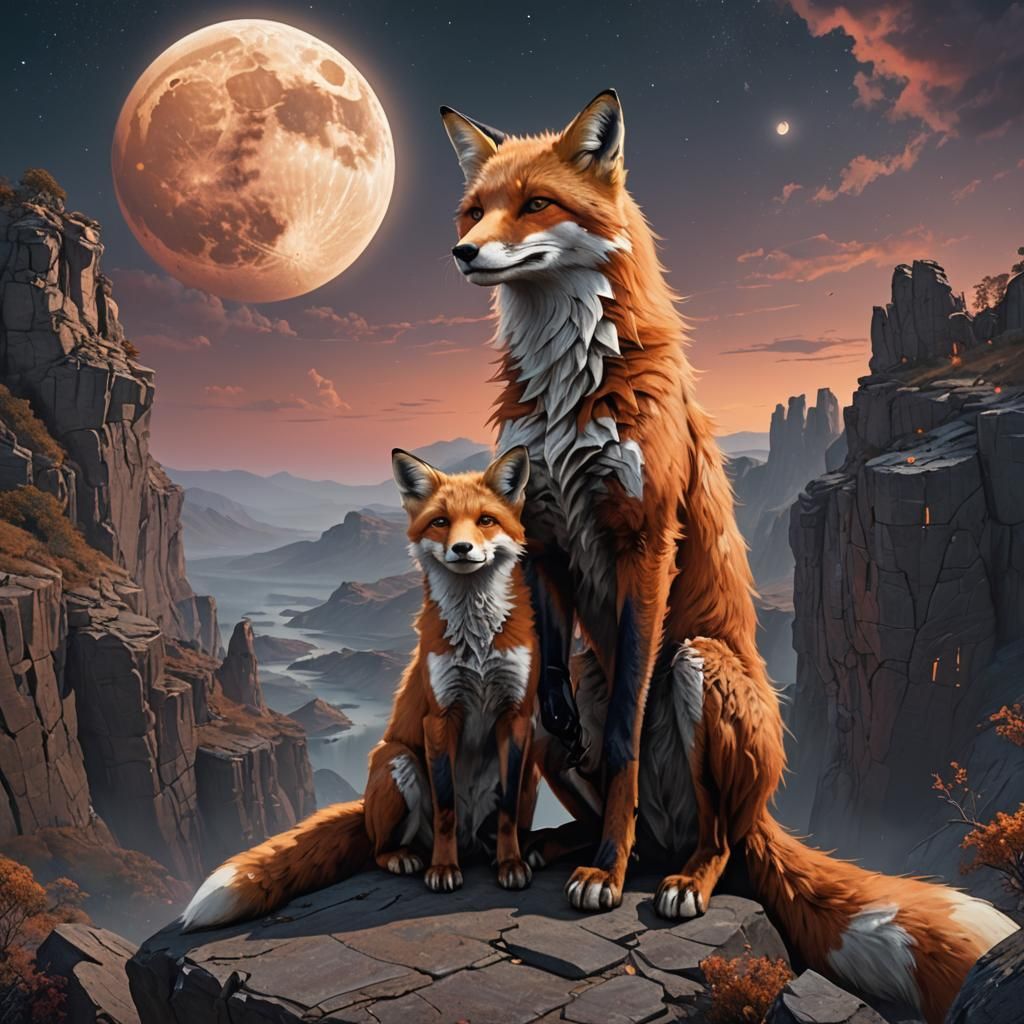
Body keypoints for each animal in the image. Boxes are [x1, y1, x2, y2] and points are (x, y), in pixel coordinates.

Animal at [182, 447, 541, 927]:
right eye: (440, 522)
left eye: (485, 520)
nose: (462, 548)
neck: (478, 645)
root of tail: (364, 810)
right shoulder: (438, 717)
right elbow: (445, 809)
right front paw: (444, 871)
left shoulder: (516, 715)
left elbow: (506, 815)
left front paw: (511, 864)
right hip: (396, 759)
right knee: (379, 849)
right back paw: (410, 857)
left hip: (533, 761)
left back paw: (516, 851)